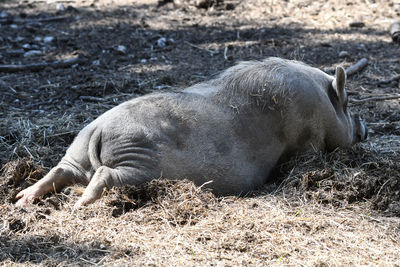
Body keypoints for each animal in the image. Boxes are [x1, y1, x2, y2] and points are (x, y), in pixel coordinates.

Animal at [15, 58, 368, 209]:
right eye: (348, 104)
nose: (364, 128)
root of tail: (98, 130)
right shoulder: (309, 141)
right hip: (141, 164)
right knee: (103, 176)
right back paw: (79, 207)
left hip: (75, 152)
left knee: (60, 171)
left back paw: (22, 199)